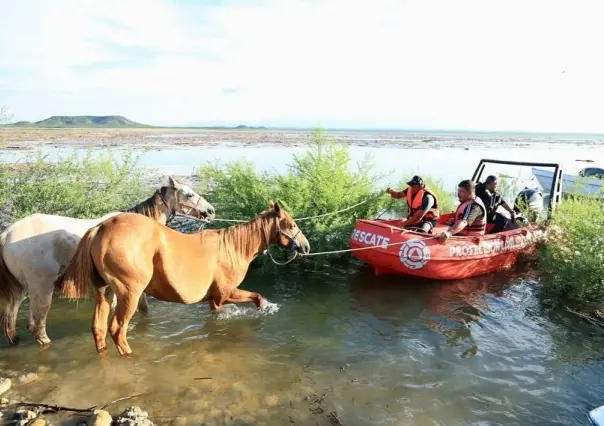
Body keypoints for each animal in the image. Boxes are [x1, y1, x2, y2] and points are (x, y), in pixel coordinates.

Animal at [0, 176, 216, 346]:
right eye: (188, 194)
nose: (211, 211)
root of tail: (7, 234)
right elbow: (142, 308)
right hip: (42, 286)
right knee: (38, 320)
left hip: (21, 288)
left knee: (12, 318)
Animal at [53, 201, 310, 356]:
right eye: (291, 225)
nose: (306, 246)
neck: (233, 247)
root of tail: (100, 228)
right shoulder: (226, 293)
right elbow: (258, 297)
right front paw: (265, 309)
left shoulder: (215, 300)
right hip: (129, 293)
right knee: (117, 329)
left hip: (104, 291)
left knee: (98, 328)